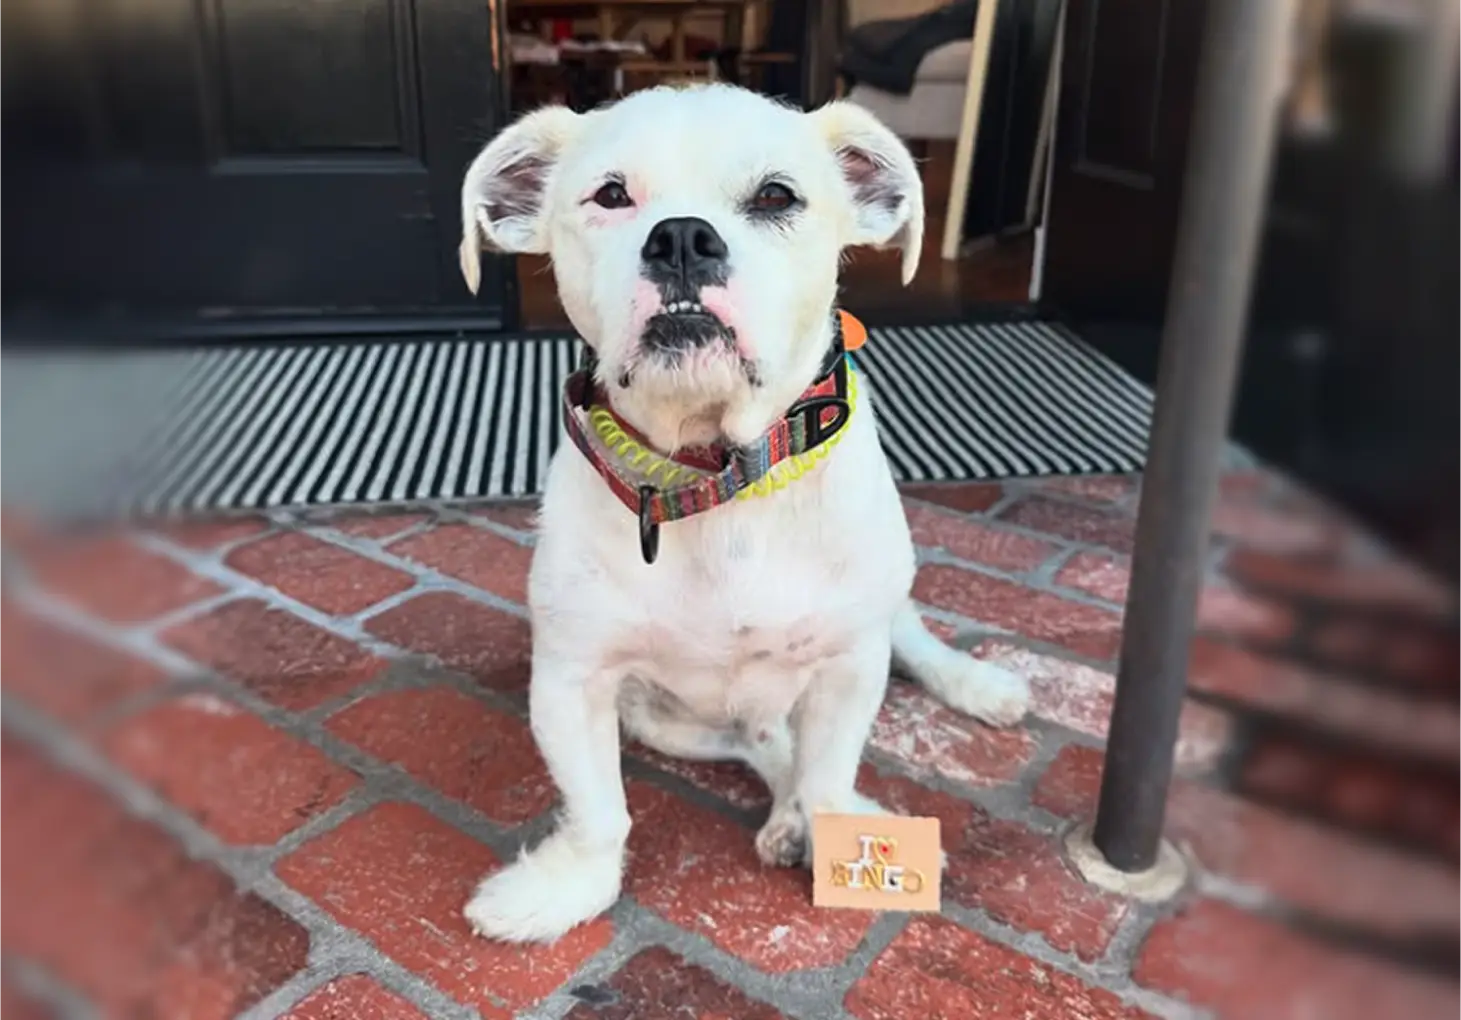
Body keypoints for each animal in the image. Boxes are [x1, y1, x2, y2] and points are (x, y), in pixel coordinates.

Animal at [457, 84, 1030, 943]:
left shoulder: (849, 664)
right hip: (670, 720)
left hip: (882, 614)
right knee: (762, 741)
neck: (720, 479)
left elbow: (828, 772)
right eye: (611, 195)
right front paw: (565, 888)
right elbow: (600, 811)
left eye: (775, 197)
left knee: (912, 648)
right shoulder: (571, 681)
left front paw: (834, 828)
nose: (682, 240)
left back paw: (973, 687)